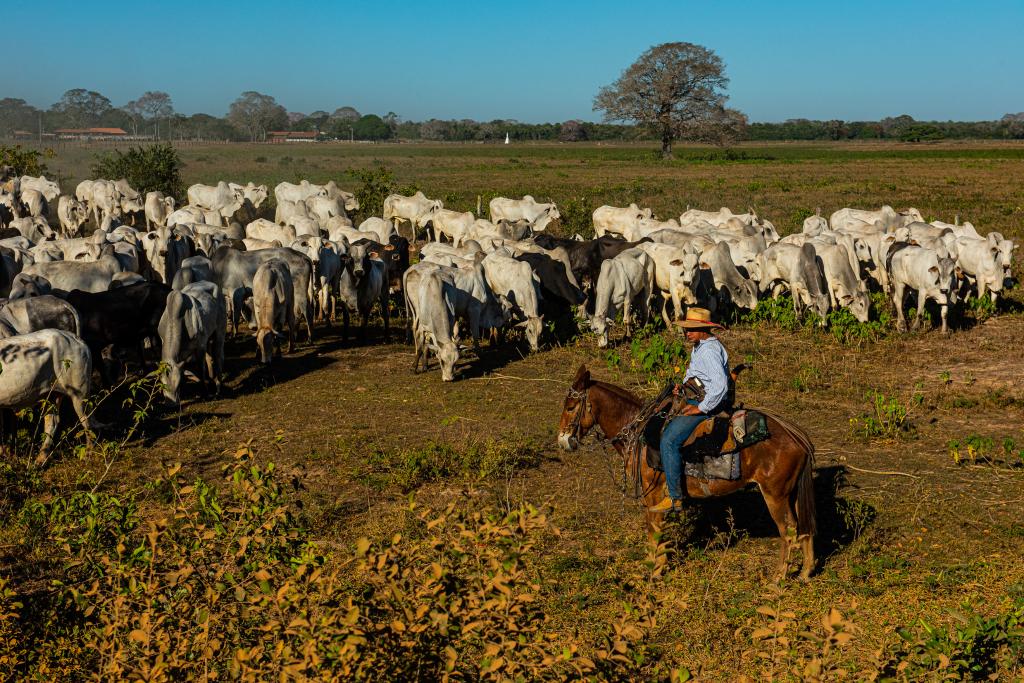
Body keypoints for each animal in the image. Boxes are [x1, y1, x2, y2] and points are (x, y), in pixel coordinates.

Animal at [561, 362, 815, 581]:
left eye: (571, 407)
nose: (563, 441)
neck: (639, 431)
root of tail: (796, 435)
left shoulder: (653, 495)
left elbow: (654, 531)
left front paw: (653, 571)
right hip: (790, 493)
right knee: (804, 526)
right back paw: (805, 572)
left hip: (775, 495)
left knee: (788, 530)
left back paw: (778, 578)